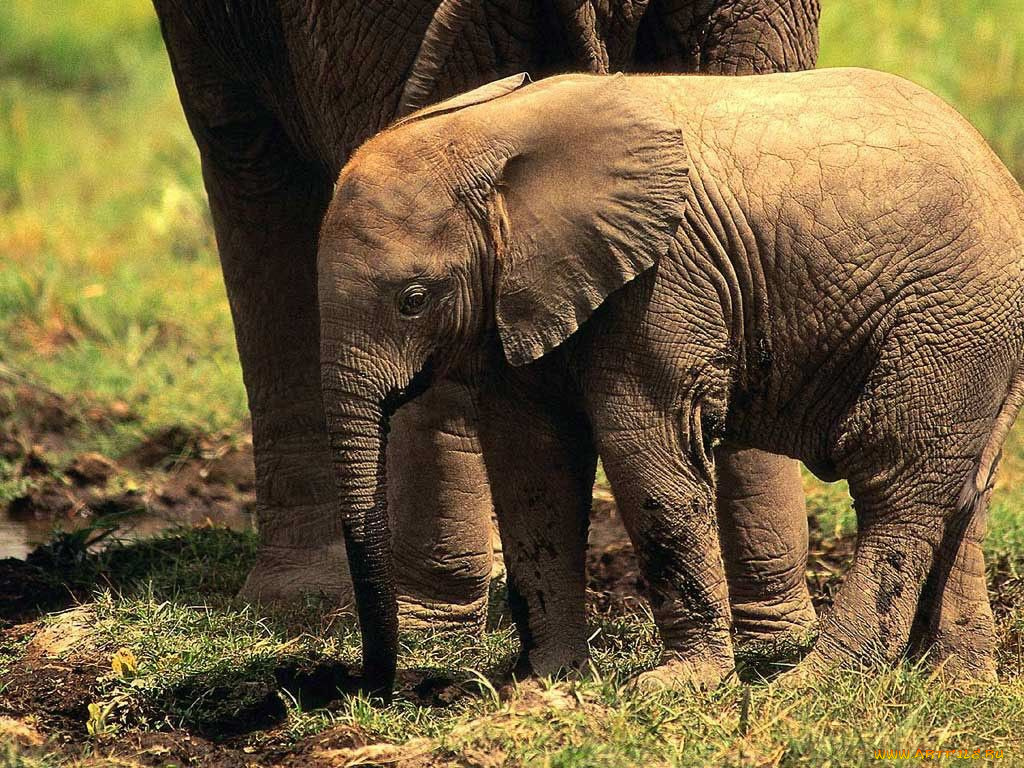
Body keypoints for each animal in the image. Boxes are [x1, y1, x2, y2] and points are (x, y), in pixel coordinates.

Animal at [315, 72, 1019, 696]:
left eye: (414, 300)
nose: (374, 688)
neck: (495, 134)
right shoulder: (516, 303)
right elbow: (531, 465)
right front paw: (543, 684)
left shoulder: (663, 281)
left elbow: (646, 452)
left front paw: (677, 686)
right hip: (977, 339)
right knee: (962, 497)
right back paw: (957, 684)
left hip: (945, 322)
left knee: (894, 481)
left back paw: (811, 686)